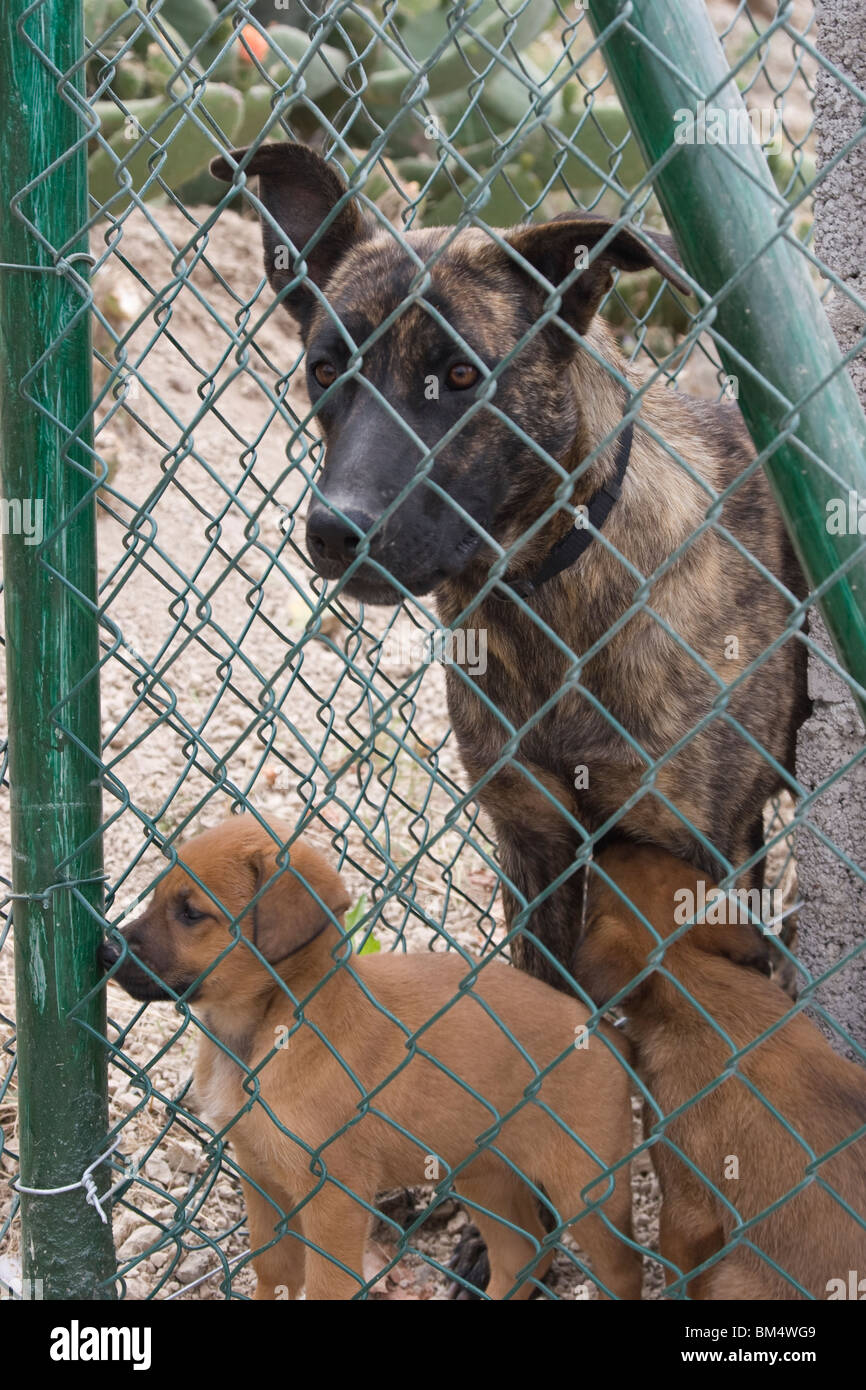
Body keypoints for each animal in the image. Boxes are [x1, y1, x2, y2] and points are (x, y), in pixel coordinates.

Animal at [103, 817, 644, 1295]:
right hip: (484, 1173)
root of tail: (605, 1034)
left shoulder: (333, 1196)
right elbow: (274, 1272)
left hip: (585, 1189)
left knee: (620, 1270)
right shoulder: (262, 1179)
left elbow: (327, 1286)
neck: (265, 1029)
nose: (106, 951)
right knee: (524, 1255)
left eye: (191, 913)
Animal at [214, 143, 811, 989]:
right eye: (326, 370)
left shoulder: (706, 849)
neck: (546, 596)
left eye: (463, 376)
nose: (335, 529)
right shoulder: (534, 841)